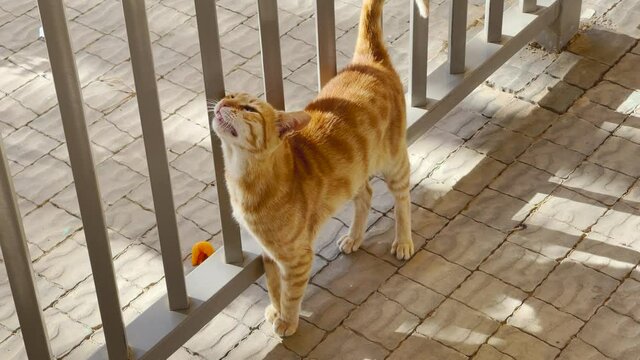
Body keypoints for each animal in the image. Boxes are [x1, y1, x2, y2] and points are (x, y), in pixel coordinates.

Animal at [211, 0, 430, 338]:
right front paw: (275, 310)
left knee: (402, 199)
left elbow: (291, 293)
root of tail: (369, 60)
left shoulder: (297, 256)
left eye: (248, 108)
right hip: (356, 172)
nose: (223, 102)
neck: (243, 178)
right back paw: (354, 237)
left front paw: (287, 321)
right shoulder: (269, 255)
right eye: (231, 96)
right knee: (366, 194)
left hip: (394, 162)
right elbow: (273, 287)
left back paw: (403, 241)